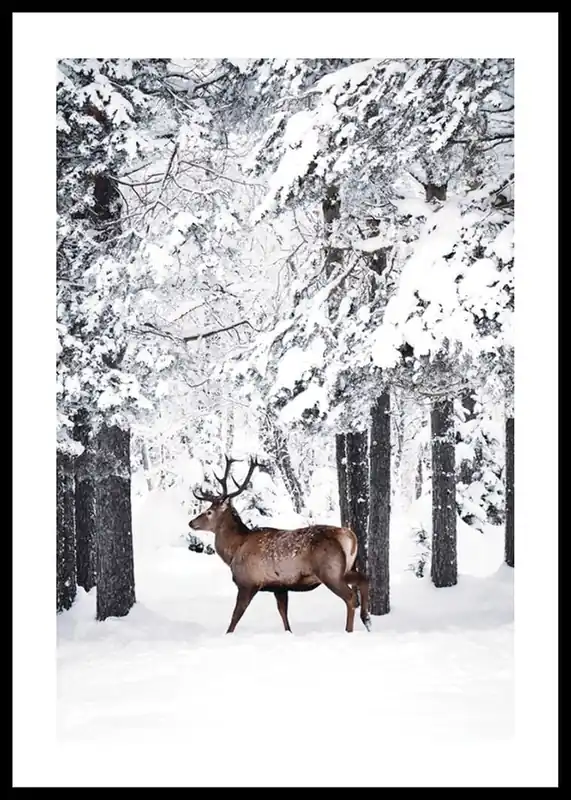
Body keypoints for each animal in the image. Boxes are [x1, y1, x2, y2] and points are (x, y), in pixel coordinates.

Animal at [189, 456, 371, 635]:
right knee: (364, 579)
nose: (191, 522)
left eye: (209, 512)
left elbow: (235, 617)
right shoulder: (279, 587)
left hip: (330, 571)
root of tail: (349, 536)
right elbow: (284, 615)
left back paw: (349, 630)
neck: (234, 550)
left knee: (350, 597)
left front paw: (228, 634)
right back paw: (367, 620)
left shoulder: (247, 582)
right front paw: (288, 633)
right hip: (346, 568)